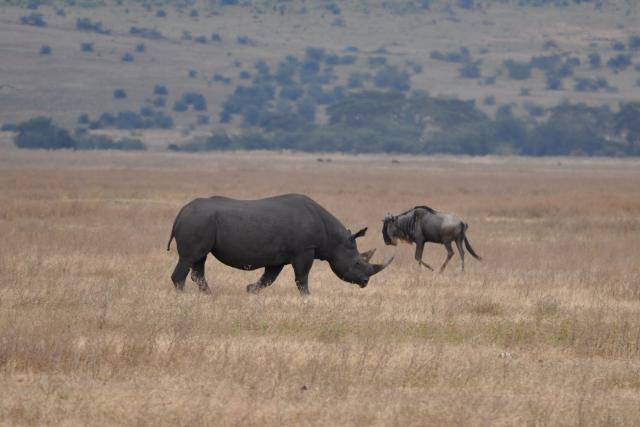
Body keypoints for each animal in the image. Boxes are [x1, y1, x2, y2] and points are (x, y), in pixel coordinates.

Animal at [167, 194, 393, 295]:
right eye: (357, 263)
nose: (365, 282)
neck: (334, 239)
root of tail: (180, 214)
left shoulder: (278, 257)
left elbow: (269, 278)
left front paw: (250, 290)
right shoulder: (304, 249)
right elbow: (302, 276)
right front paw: (307, 297)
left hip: (201, 222)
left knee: (200, 259)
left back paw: (208, 294)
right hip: (197, 221)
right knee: (190, 257)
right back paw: (183, 295)